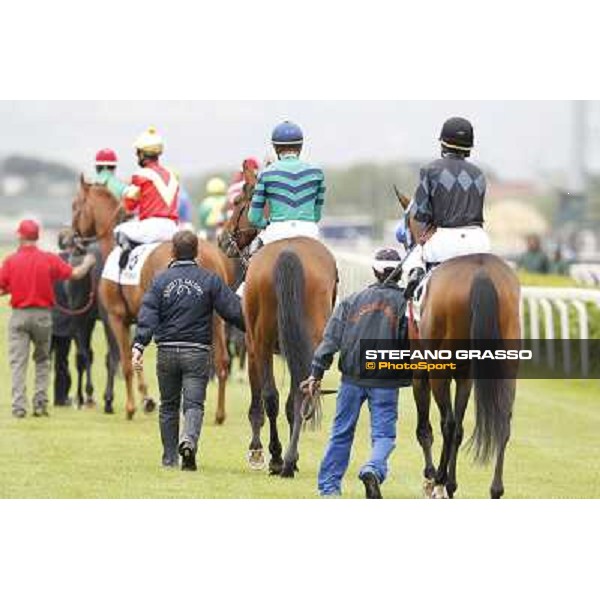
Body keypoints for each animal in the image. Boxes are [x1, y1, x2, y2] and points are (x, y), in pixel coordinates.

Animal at [69, 176, 230, 422]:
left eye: (75, 206)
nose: (71, 239)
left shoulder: (116, 318)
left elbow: (126, 361)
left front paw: (130, 407)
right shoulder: (139, 320)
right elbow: (136, 357)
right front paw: (147, 400)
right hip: (216, 319)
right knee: (222, 362)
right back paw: (219, 414)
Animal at [218, 162, 338, 476]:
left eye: (238, 201)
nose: (222, 239)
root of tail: (289, 251)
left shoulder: (252, 347)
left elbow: (259, 401)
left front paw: (257, 451)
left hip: (260, 342)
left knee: (271, 397)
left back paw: (274, 457)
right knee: (300, 391)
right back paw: (290, 459)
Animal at [396, 195, 516, 500]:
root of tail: (480, 272)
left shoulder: (421, 369)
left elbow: (428, 427)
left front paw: (433, 478)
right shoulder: (466, 373)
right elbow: (461, 426)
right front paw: (451, 483)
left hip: (438, 367)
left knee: (447, 423)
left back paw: (438, 480)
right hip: (508, 362)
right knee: (502, 420)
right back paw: (495, 488)